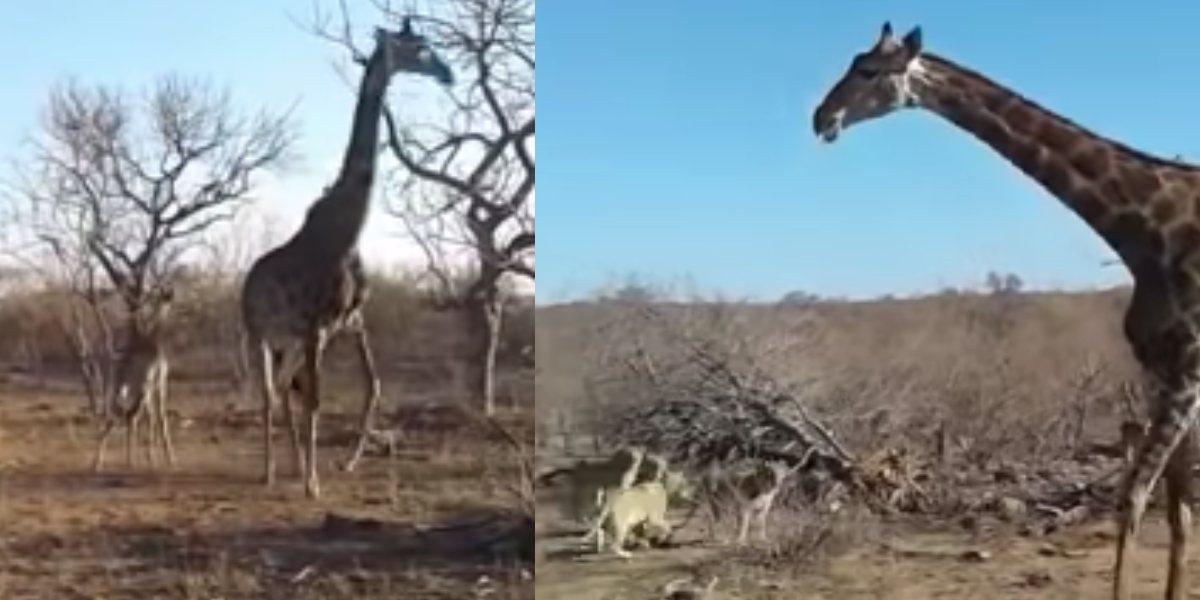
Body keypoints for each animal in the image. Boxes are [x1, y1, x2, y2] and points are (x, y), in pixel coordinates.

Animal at [811, 22, 1200, 600]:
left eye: (869, 71)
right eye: (855, 61)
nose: (821, 118)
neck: (1141, 228)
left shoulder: (1187, 374)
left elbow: (1133, 499)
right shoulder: (1160, 371)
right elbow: (1177, 508)